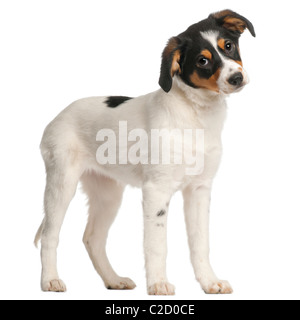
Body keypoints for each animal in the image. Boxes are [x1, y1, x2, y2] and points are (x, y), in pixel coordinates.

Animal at [34, 9, 255, 296]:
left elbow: (200, 243)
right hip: (61, 184)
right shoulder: (156, 190)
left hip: (108, 194)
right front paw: (158, 284)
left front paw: (209, 282)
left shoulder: (199, 189)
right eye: (203, 60)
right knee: (50, 235)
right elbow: (156, 244)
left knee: (92, 238)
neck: (196, 115)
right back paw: (50, 280)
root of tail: (57, 117)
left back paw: (113, 279)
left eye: (228, 46)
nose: (236, 78)